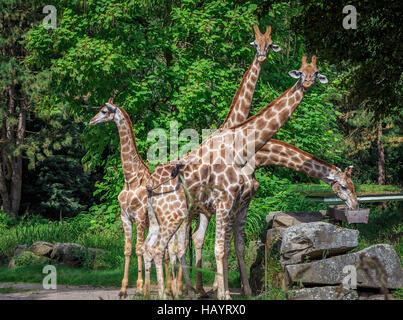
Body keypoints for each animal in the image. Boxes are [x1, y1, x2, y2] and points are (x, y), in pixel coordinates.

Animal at [145, 53, 332, 298]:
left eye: (316, 72)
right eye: (301, 72)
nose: (308, 83)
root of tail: (149, 185)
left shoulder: (235, 205)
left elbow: (232, 247)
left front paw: (241, 290)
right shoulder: (226, 203)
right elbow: (221, 248)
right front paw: (224, 292)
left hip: (170, 216)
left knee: (164, 247)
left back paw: (183, 290)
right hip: (176, 216)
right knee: (168, 248)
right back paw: (176, 292)